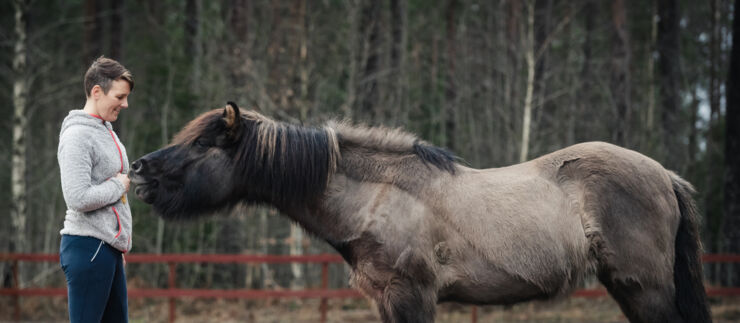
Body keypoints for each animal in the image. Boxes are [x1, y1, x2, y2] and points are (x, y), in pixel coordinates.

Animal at [132, 103, 712, 323]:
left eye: (202, 143)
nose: (138, 170)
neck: (374, 199)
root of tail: (666, 175)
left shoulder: (411, 295)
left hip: (646, 288)